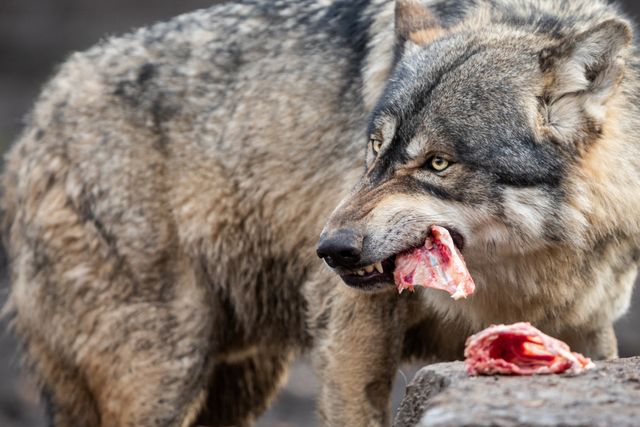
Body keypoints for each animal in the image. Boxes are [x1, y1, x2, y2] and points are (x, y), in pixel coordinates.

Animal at [1, 0, 640, 426]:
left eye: (437, 163)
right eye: (374, 150)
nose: (331, 250)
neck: (524, 274)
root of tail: (41, 112)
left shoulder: (588, 329)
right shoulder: (351, 340)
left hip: (242, 379)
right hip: (163, 374)